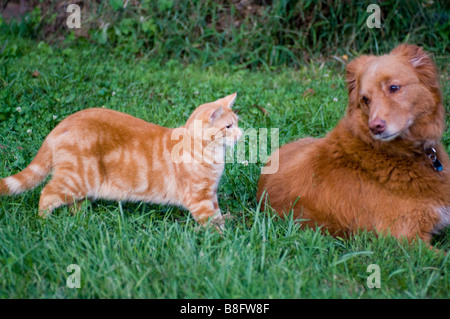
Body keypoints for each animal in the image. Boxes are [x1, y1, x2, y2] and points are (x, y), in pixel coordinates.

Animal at [0, 92, 243, 230]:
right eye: (228, 126)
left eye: (237, 123)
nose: (241, 134)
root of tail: (63, 123)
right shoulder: (200, 198)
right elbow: (212, 223)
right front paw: (222, 241)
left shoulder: (210, 195)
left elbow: (218, 215)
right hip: (76, 178)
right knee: (47, 193)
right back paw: (44, 222)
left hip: (83, 185)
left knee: (74, 205)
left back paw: (83, 221)